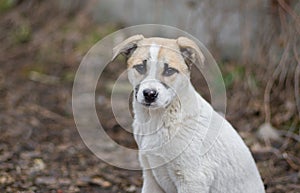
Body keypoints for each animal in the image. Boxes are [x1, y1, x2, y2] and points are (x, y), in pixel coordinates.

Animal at [111, 35, 264, 192]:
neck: (160, 119)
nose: (149, 94)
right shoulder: (150, 177)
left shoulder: (192, 180)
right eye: (140, 67)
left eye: (169, 71)